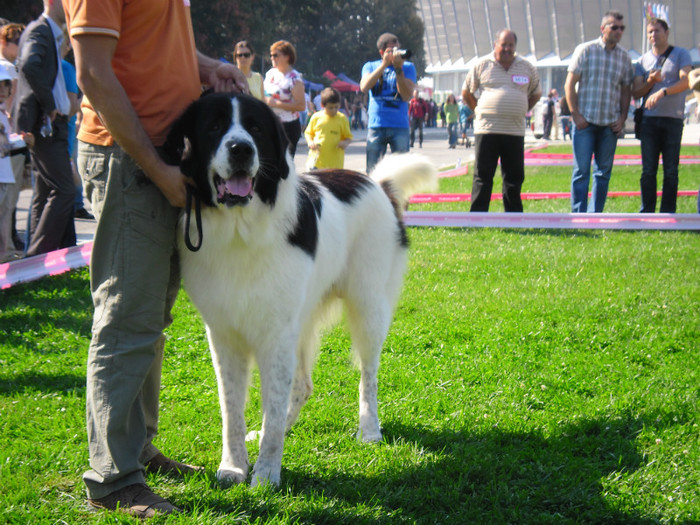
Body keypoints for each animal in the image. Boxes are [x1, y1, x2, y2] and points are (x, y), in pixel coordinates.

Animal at [166, 93, 434, 488]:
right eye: (213, 126)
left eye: (256, 128)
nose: (241, 149)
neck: (239, 229)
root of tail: (375, 183)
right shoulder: (224, 334)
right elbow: (231, 408)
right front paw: (234, 466)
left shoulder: (276, 334)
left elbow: (273, 403)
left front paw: (265, 474)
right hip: (304, 319)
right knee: (303, 385)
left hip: (367, 307)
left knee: (368, 373)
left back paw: (369, 429)